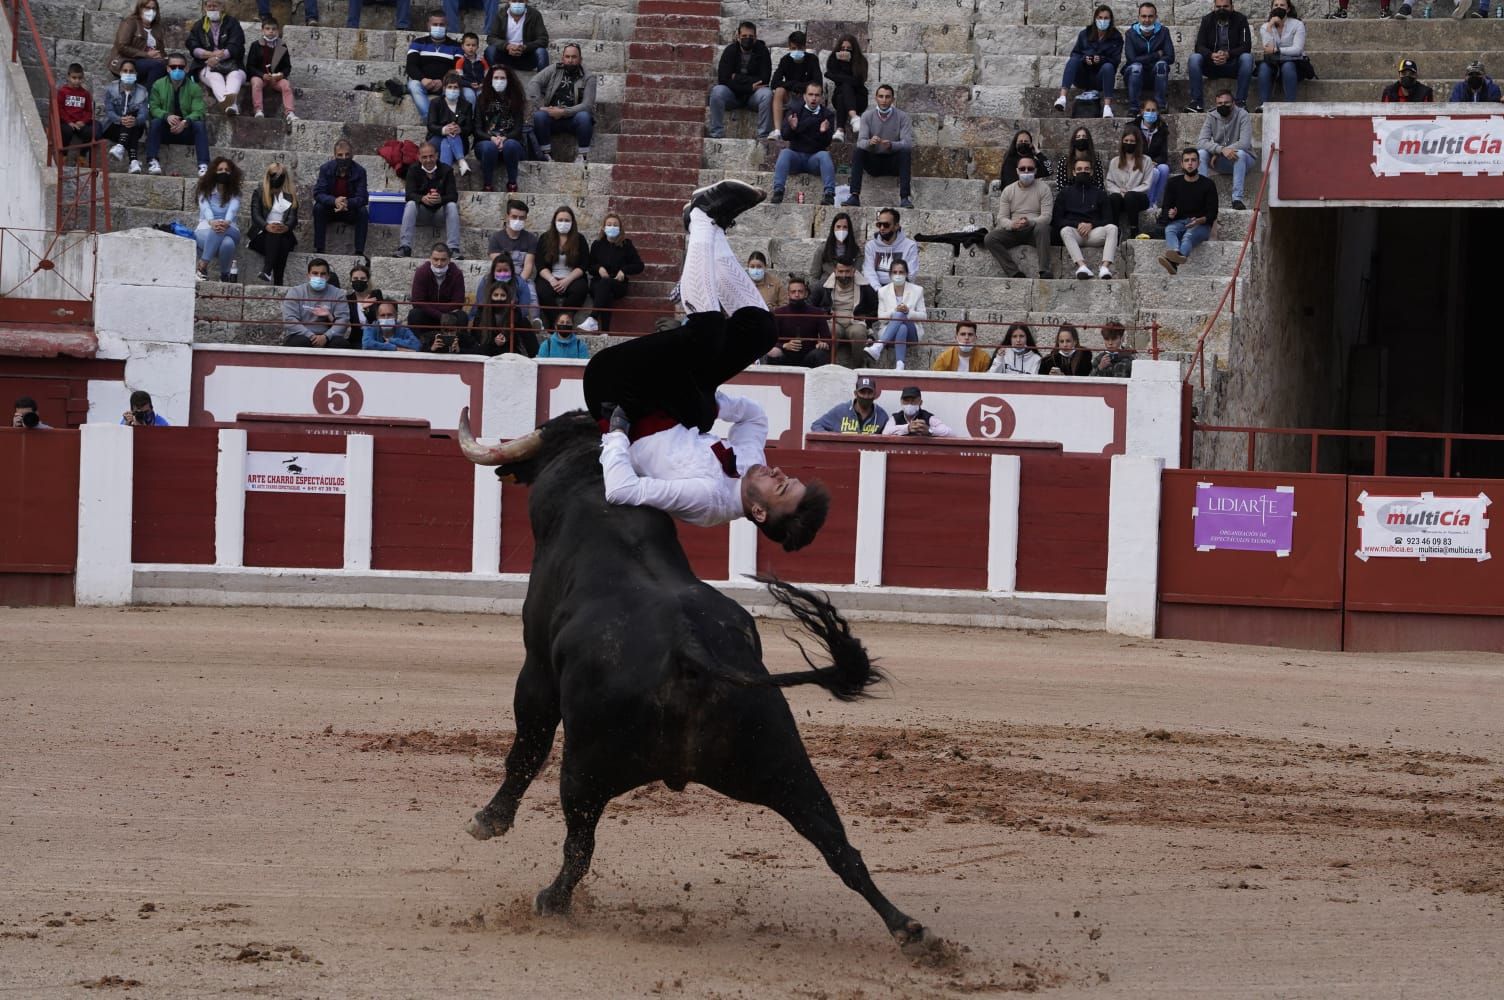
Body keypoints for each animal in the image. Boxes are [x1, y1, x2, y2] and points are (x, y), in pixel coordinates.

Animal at [457, 409, 926, 950]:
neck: (591, 488)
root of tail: (690, 652)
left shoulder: (535, 665)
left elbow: (526, 748)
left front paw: (489, 820)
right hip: (781, 758)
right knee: (837, 844)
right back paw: (911, 930)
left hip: (584, 766)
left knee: (579, 843)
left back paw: (551, 901)